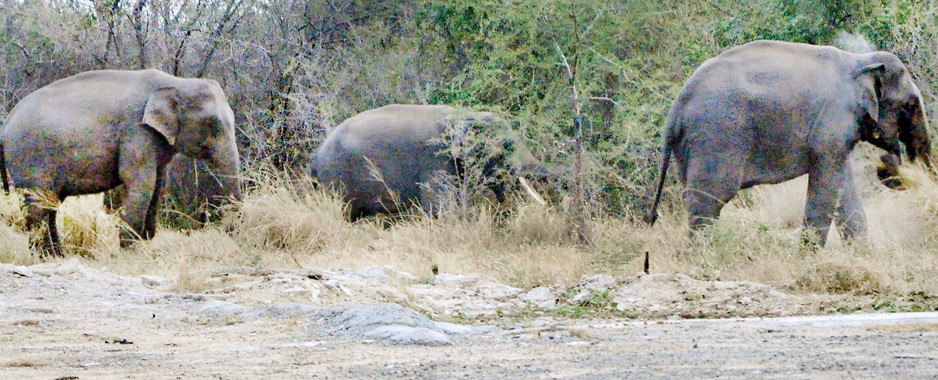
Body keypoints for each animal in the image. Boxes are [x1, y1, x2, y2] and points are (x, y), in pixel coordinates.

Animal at [0, 69, 241, 255]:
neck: (176, 82)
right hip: (31, 159)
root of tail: (6, 123)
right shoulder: (136, 132)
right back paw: (45, 256)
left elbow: (157, 185)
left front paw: (145, 242)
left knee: (50, 205)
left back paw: (57, 255)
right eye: (212, 124)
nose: (228, 231)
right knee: (40, 205)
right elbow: (140, 184)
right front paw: (131, 251)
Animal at [312, 104, 544, 223]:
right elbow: (440, 206)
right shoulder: (434, 159)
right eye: (505, 147)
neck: (465, 115)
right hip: (335, 177)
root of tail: (316, 156)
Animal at [652, 40, 928, 243]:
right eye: (910, 106)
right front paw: (811, 258)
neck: (860, 60)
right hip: (717, 135)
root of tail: (676, 108)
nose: (887, 161)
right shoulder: (833, 121)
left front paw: (861, 255)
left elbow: (843, 187)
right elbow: (826, 187)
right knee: (710, 198)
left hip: (691, 144)